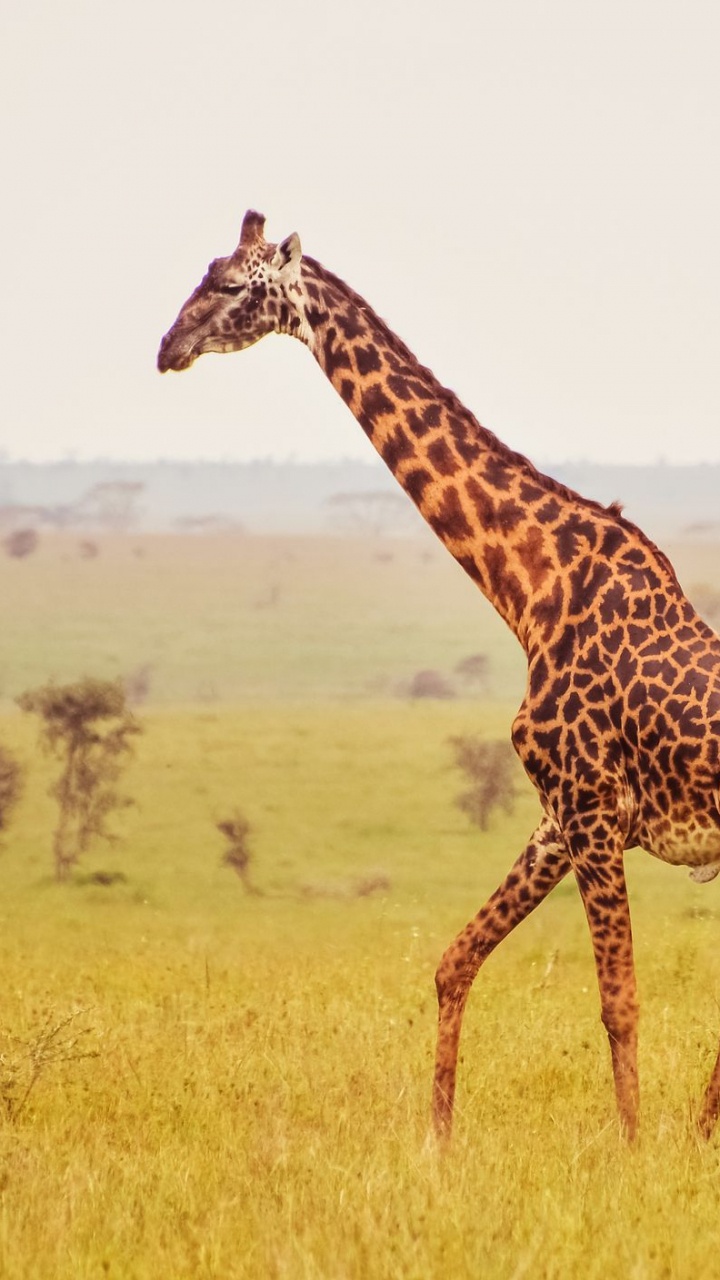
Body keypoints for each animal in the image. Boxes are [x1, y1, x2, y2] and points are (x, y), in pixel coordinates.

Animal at [158, 210, 720, 1143]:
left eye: (233, 284)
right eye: (201, 271)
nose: (168, 347)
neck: (530, 586)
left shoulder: (594, 808)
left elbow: (619, 1003)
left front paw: (633, 1150)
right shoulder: (557, 818)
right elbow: (454, 961)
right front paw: (437, 1140)